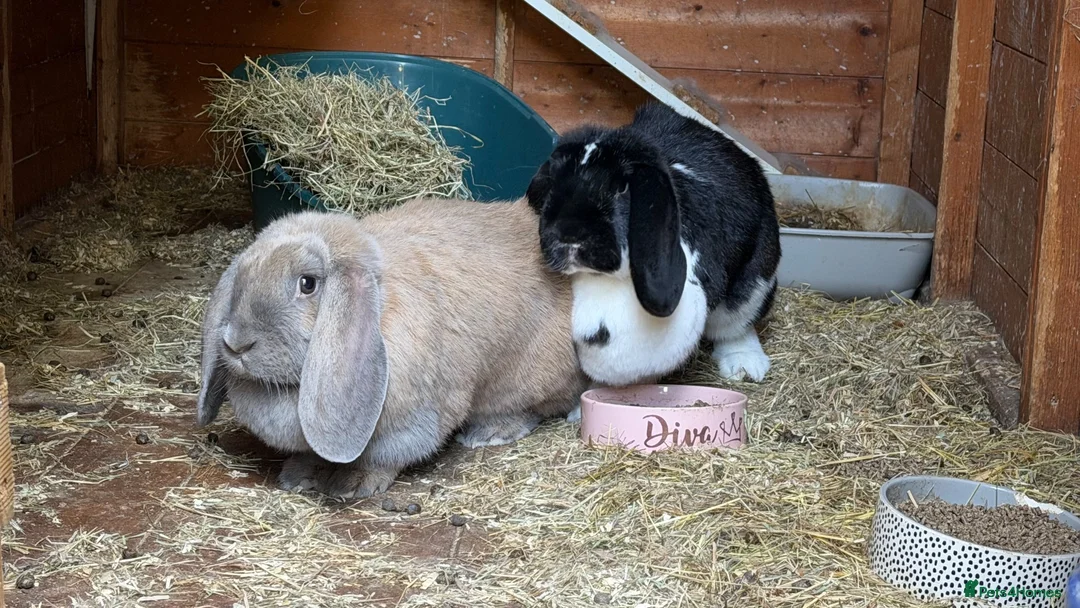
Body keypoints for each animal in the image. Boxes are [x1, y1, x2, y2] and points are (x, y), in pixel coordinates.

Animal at [195, 197, 590, 498]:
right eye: (243, 276)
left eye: (307, 284)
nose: (236, 343)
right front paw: (298, 476)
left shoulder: (412, 423)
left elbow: (384, 458)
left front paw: (353, 484)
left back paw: (488, 433)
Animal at [525, 102, 781, 412]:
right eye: (552, 184)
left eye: (621, 188)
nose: (569, 232)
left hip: (755, 281)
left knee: (736, 325)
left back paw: (745, 366)